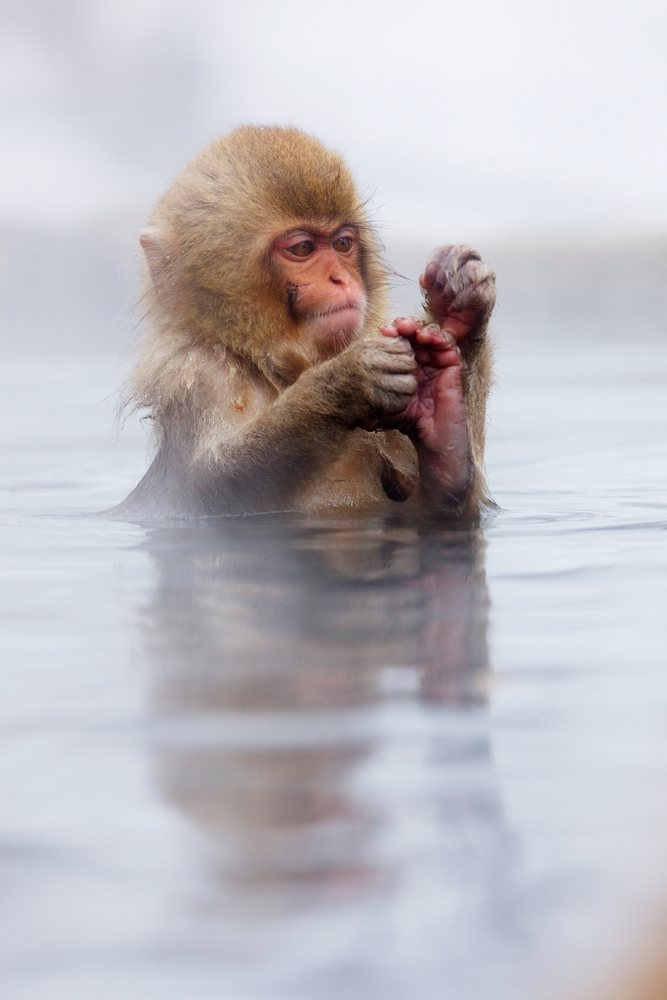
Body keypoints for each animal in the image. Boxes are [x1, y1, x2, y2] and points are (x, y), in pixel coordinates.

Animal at [114, 126, 495, 520]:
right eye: (302, 249)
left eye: (342, 243)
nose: (340, 278)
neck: (270, 367)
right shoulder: (194, 372)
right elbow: (211, 485)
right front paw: (347, 380)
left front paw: (457, 319)